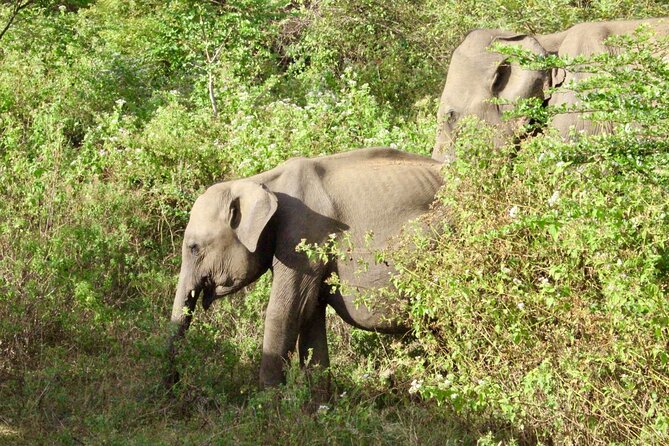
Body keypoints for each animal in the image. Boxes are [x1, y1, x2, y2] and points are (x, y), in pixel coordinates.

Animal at [166, 147, 443, 387]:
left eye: (194, 248)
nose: (175, 383)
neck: (262, 182)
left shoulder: (305, 237)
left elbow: (288, 311)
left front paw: (269, 402)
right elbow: (311, 315)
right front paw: (319, 410)